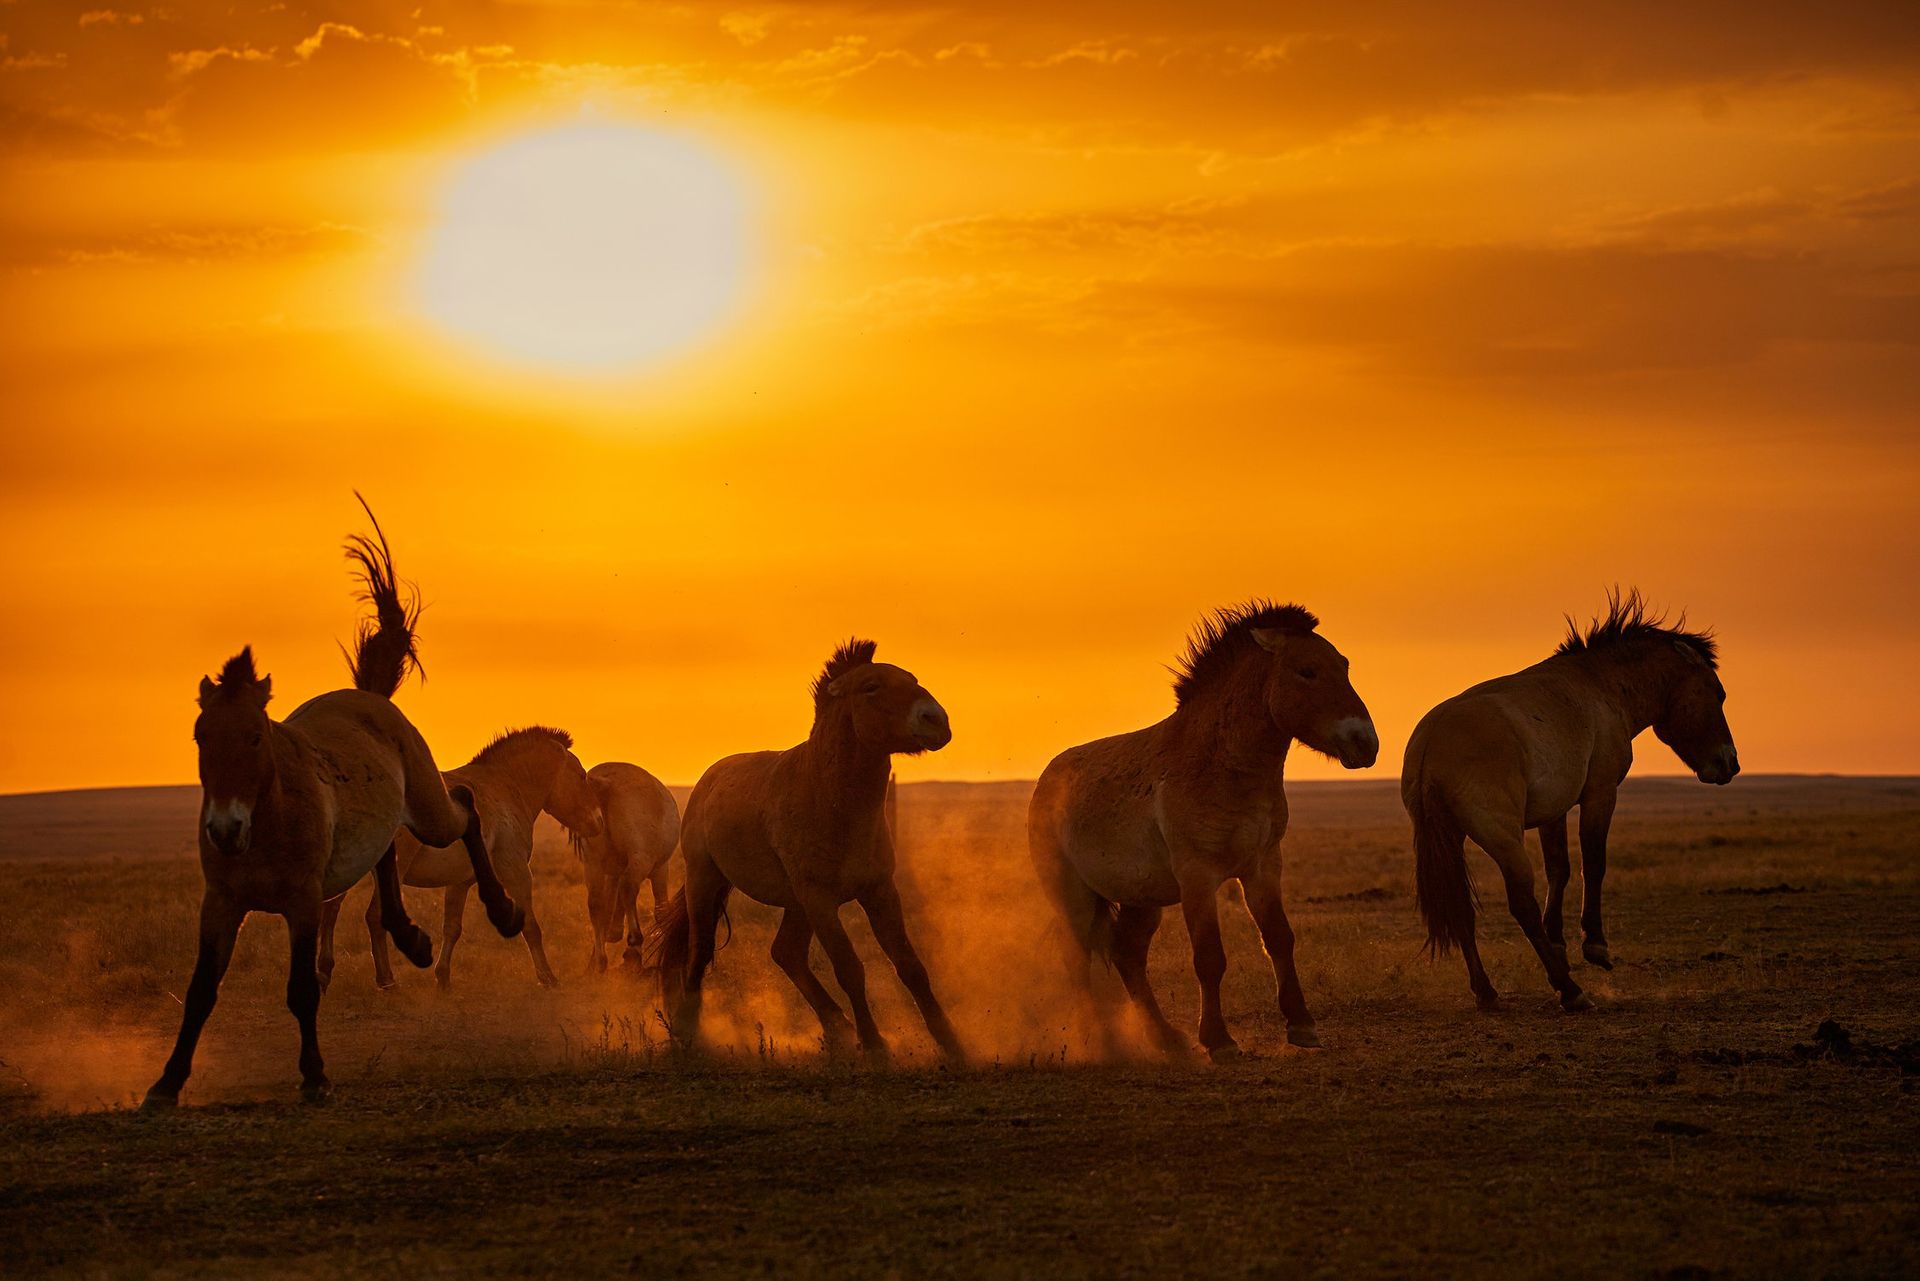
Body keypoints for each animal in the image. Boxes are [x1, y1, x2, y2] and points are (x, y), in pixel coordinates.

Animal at [145, 499, 526, 1113]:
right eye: (200, 735)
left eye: (255, 736)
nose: (225, 830)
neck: (268, 824)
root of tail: (369, 696)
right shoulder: (221, 904)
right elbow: (201, 991)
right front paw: (166, 1083)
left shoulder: (302, 903)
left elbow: (302, 990)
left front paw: (315, 1076)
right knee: (387, 855)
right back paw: (412, 939)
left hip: (429, 810)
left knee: (466, 808)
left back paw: (503, 911)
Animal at [568, 760, 683, 971]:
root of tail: (606, 783)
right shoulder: (660, 869)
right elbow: (661, 911)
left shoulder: (612, 871)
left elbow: (608, 909)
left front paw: (602, 947)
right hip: (640, 861)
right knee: (628, 889)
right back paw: (633, 946)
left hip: (593, 863)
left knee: (595, 902)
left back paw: (600, 961)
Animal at [652, 637, 967, 1067]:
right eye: (871, 686)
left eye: (912, 679)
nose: (935, 720)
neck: (828, 800)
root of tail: (709, 779)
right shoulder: (821, 900)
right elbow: (849, 968)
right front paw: (876, 1045)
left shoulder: (879, 892)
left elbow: (910, 966)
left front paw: (954, 1044)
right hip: (708, 881)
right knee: (699, 953)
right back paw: (688, 1033)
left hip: (795, 904)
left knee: (785, 953)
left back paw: (838, 1030)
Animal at [1036, 603, 1382, 1060]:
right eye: (1306, 671)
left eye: (1343, 666)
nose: (1366, 743)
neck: (1223, 766)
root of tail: (1046, 781)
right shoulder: (1198, 877)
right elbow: (1209, 957)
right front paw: (1219, 1040)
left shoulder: (1262, 867)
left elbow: (1279, 939)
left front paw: (1302, 1025)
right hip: (1074, 897)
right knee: (1078, 963)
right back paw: (1105, 1042)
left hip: (1141, 899)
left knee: (1128, 956)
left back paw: (1166, 1040)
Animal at [1397, 587, 1743, 1014]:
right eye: (1718, 694)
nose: (1730, 763)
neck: (1599, 687)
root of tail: (1432, 743)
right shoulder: (1600, 794)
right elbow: (1593, 864)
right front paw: (1594, 945)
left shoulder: (1553, 811)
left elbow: (1559, 869)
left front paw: (1559, 942)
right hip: (1503, 839)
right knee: (1521, 904)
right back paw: (1569, 989)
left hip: (1451, 841)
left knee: (1461, 909)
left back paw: (1488, 992)